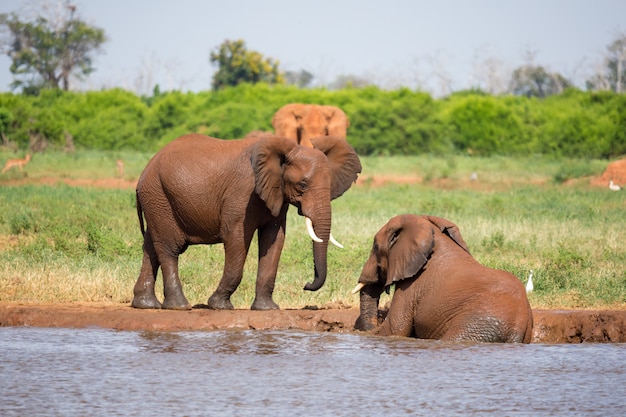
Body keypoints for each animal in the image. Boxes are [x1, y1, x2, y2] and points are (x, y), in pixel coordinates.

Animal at [130, 132, 360, 308]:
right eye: (302, 185)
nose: (306, 285)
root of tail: (145, 171)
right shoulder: (242, 193)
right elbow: (236, 238)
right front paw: (218, 306)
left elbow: (274, 239)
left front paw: (267, 309)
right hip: (159, 196)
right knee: (169, 248)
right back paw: (179, 306)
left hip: (157, 200)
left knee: (151, 245)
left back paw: (146, 304)